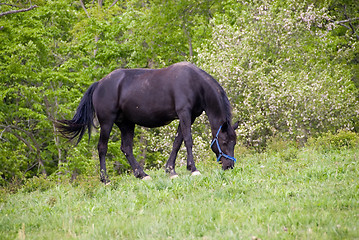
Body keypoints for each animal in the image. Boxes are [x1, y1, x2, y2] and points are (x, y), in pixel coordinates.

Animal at [56, 61, 239, 183]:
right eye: (224, 141)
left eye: (234, 142)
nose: (229, 166)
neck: (195, 83)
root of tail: (99, 83)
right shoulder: (184, 113)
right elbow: (188, 140)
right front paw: (193, 169)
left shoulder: (188, 116)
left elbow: (177, 142)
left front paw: (171, 170)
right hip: (107, 122)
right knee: (102, 148)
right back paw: (105, 179)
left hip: (127, 124)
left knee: (126, 148)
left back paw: (142, 175)